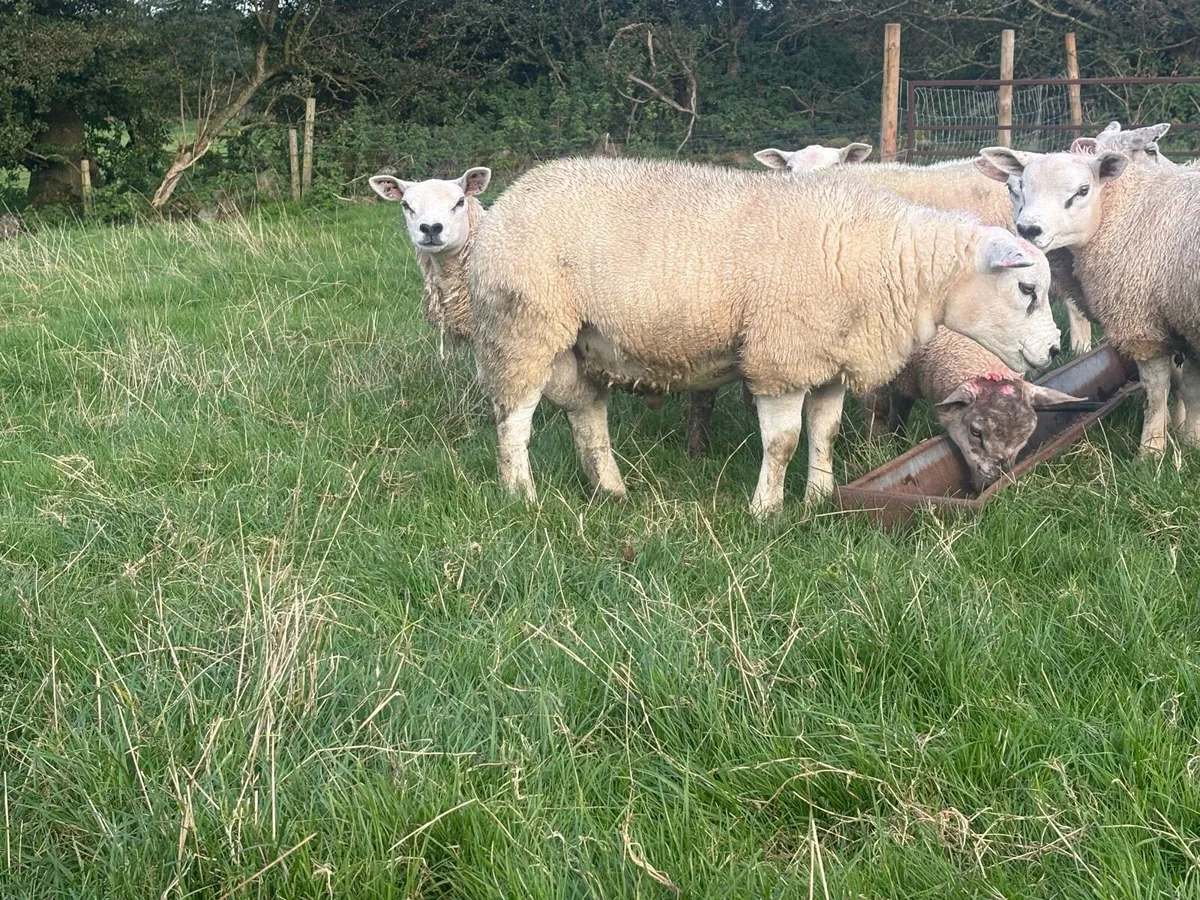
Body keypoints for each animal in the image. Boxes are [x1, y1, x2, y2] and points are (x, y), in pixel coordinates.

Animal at [979, 143, 1200, 455]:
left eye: (1083, 190)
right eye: (1019, 186)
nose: (1028, 230)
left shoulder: (1139, 320)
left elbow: (1156, 391)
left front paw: (1151, 451)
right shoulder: (1184, 322)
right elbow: (1189, 390)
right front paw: (1191, 441)